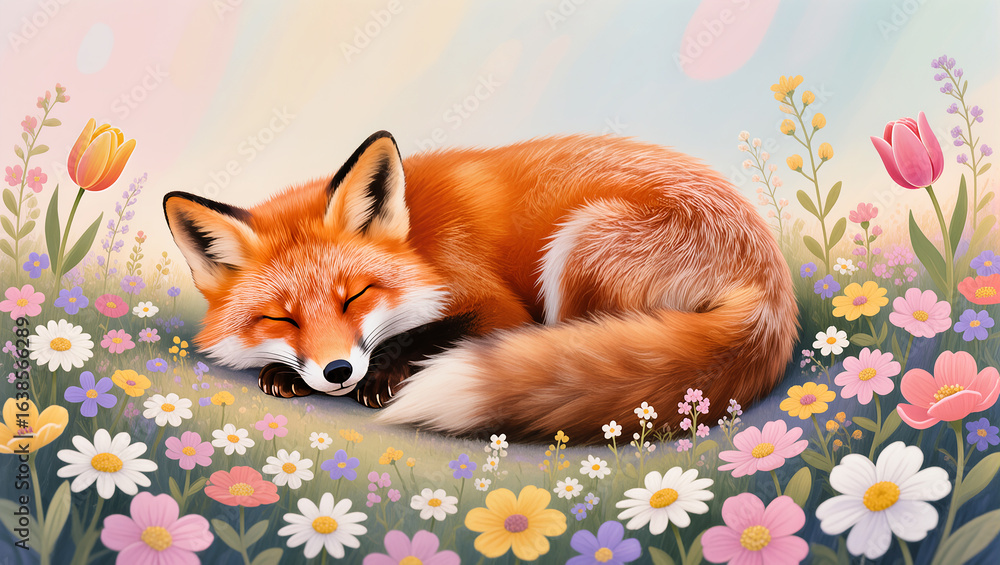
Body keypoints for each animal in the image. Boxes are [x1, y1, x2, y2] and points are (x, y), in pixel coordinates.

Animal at [163, 131, 798, 443]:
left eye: (356, 296)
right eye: (281, 318)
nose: (338, 372)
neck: (421, 240)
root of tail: (772, 288)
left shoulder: (500, 308)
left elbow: (430, 331)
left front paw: (385, 373)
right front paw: (284, 371)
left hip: (579, 245)